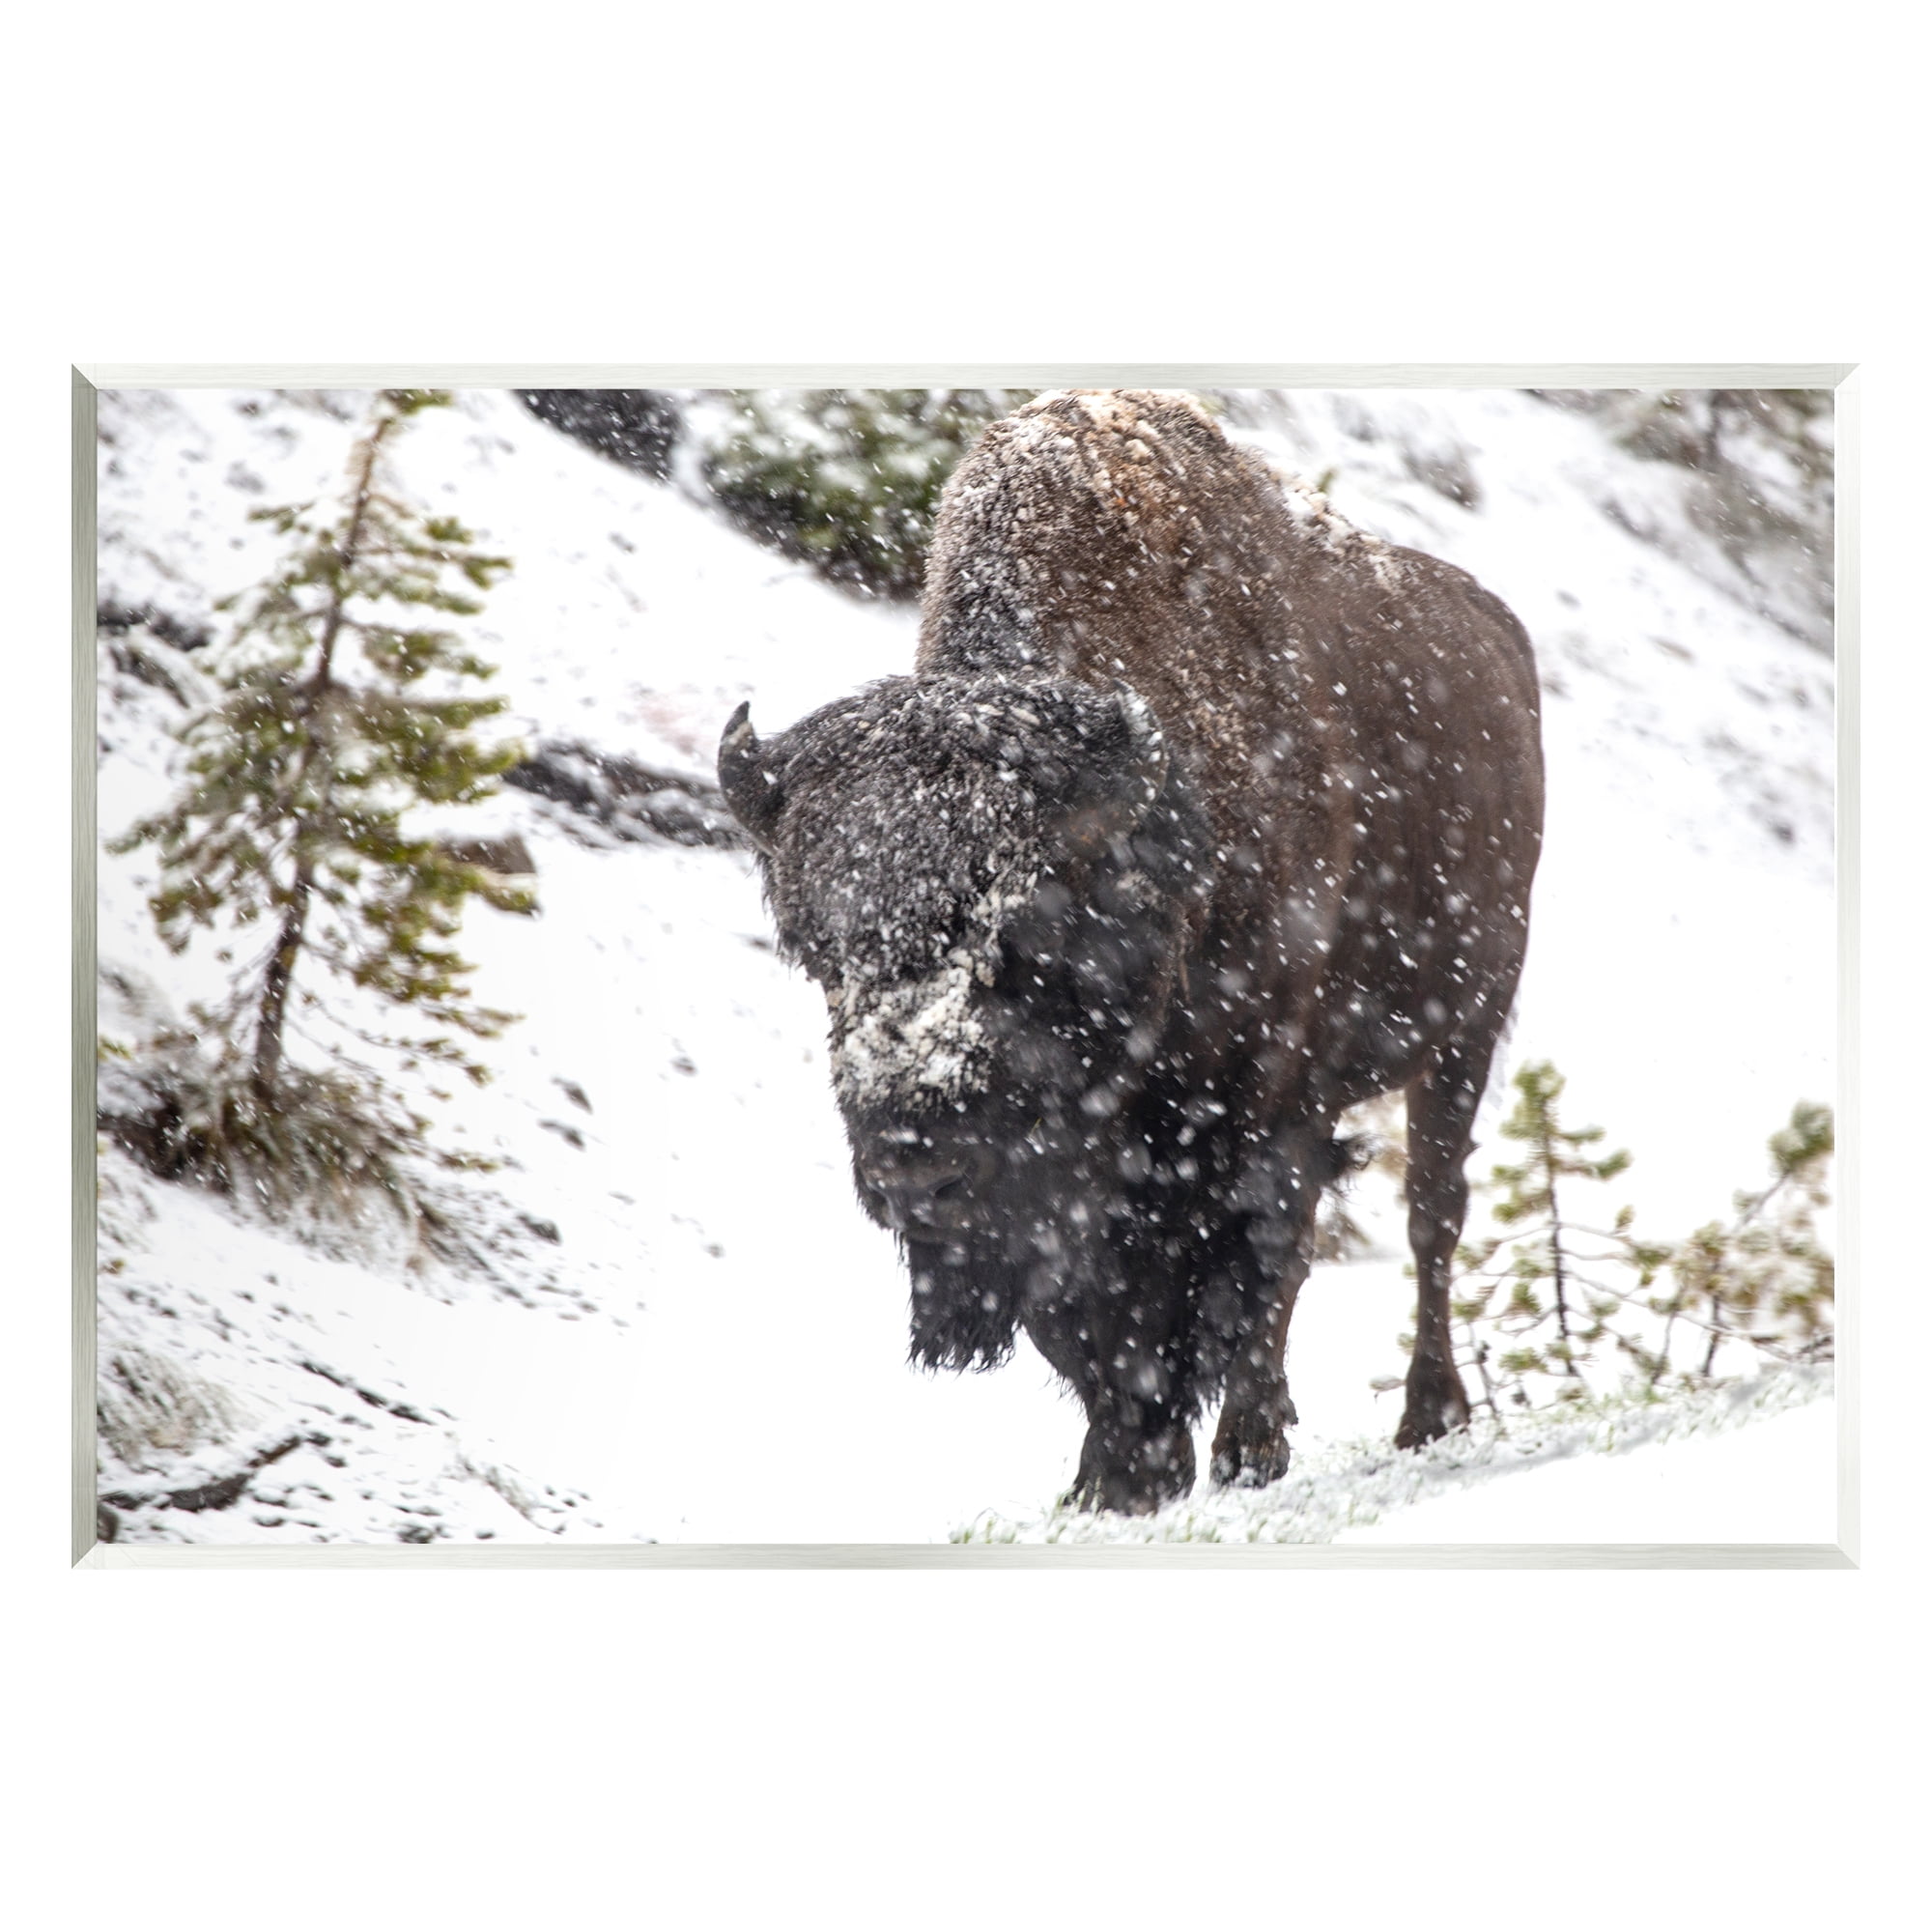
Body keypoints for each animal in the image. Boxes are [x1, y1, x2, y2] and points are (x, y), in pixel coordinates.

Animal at [718, 390, 1543, 1513]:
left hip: (1462, 1033)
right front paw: (1112, 1475)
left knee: (1427, 1216)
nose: (912, 1171)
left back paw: (1415, 1418)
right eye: (814, 950)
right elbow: (1085, 1317)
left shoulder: (1261, 1107)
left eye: (1019, 940)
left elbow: (1248, 1260)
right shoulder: (1069, 1183)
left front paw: (1226, 1454)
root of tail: (1499, 638)